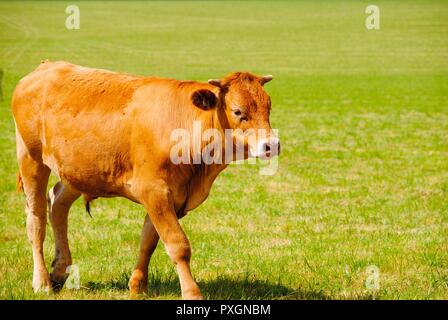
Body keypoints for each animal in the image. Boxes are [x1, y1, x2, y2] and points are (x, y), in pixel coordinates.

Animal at [12, 60, 280, 300]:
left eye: (268, 108)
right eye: (238, 111)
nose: (271, 145)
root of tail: (46, 67)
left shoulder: (171, 197)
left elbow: (148, 241)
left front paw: (137, 286)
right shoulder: (154, 190)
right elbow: (178, 245)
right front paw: (192, 293)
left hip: (77, 171)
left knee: (57, 204)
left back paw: (60, 271)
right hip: (31, 159)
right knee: (36, 220)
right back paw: (42, 282)